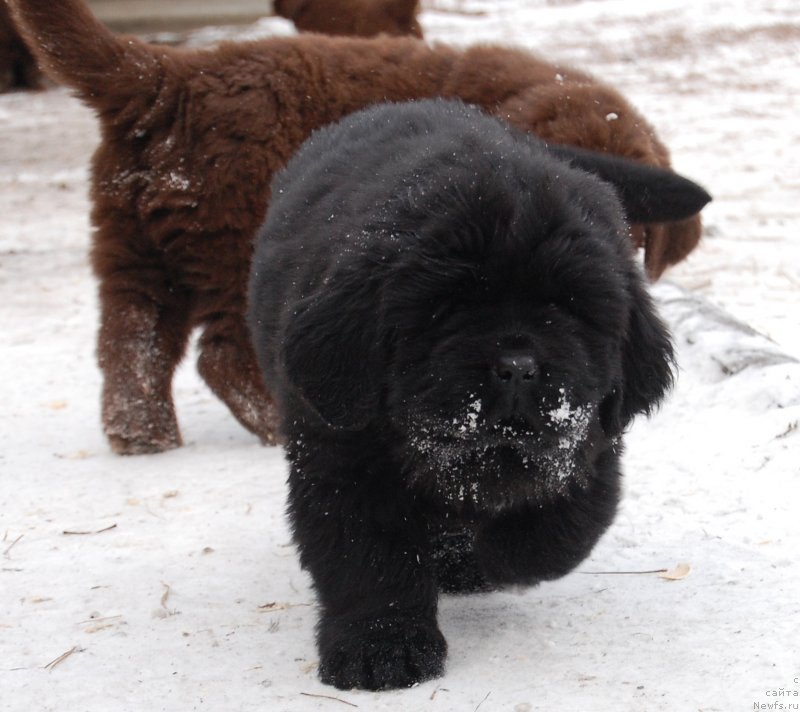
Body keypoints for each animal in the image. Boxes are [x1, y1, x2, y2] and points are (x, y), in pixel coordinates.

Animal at [6, 0, 708, 456]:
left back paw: (142, 434)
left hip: (131, 244)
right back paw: (277, 423)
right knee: (222, 354)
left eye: (640, 232)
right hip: (234, 240)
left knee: (131, 342)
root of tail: (168, 77)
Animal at [247, 97, 708, 688]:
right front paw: (382, 651)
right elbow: (369, 558)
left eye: (567, 307)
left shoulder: (589, 441)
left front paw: (495, 557)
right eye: (448, 306)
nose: (517, 367)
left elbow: (559, 528)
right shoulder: (341, 455)